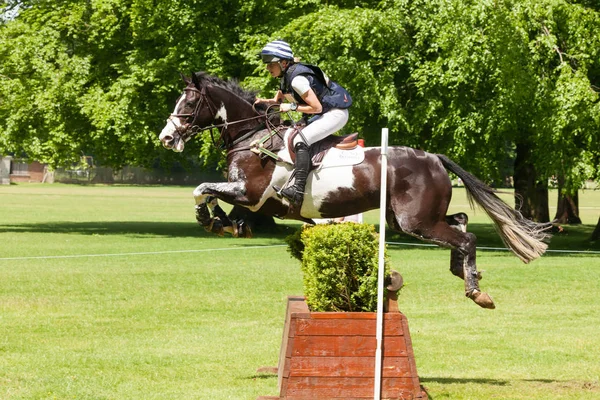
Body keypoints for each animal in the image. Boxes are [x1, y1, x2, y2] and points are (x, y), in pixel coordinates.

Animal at [157, 72, 552, 310]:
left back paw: (475, 290)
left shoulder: (250, 194)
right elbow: (211, 193)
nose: (166, 138)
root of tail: (434, 157)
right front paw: (222, 222)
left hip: (414, 221)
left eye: (188, 104)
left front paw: (210, 218)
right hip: (408, 218)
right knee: (461, 221)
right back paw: (463, 271)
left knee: (465, 236)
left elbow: (202, 189)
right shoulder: (247, 198)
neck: (251, 136)